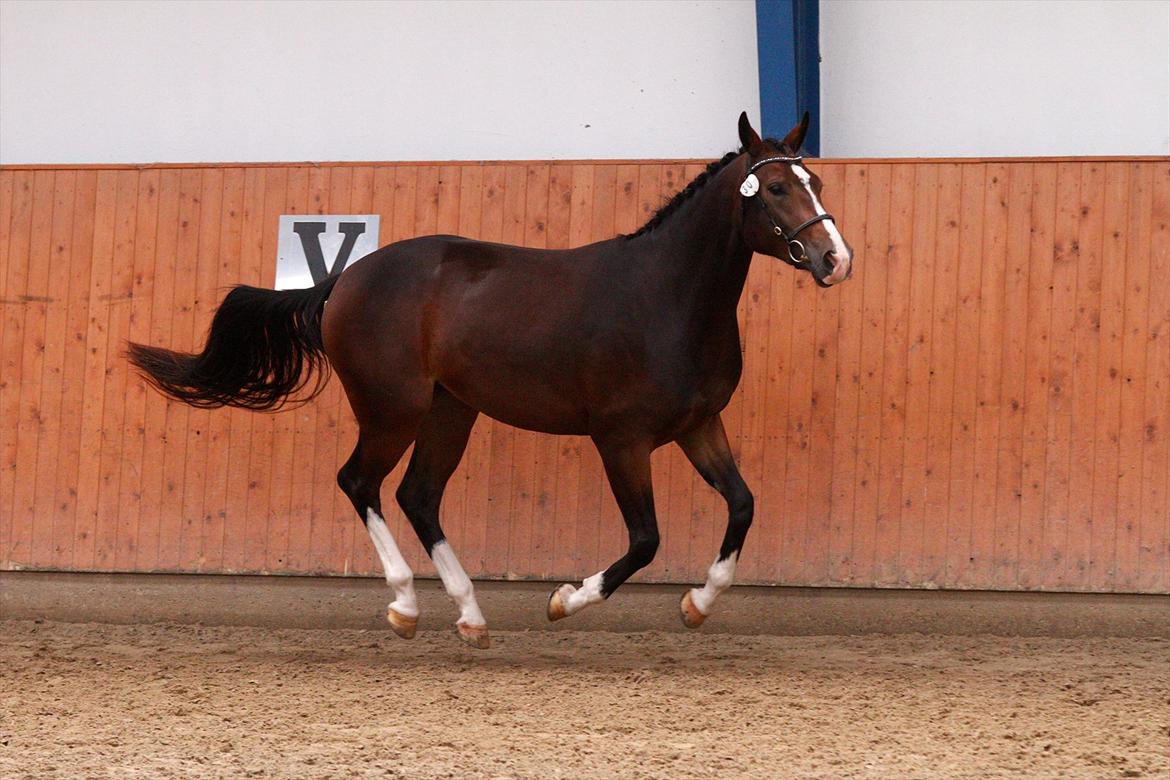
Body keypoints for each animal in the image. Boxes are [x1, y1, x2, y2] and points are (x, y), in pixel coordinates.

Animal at [128, 112, 856, 650]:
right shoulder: (621, 440)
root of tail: (345, 279)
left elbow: (743, 505)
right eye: (777, 189)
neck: (667, 298)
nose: (835, 260)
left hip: (451, 410)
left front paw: (697, 605)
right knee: (360, 482)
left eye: (816, 180)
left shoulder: (699, 426)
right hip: (393, 410)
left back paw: (471, 616)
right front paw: (565, 600)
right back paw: (405, 606)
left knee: (419, 496)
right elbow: (646, 540)